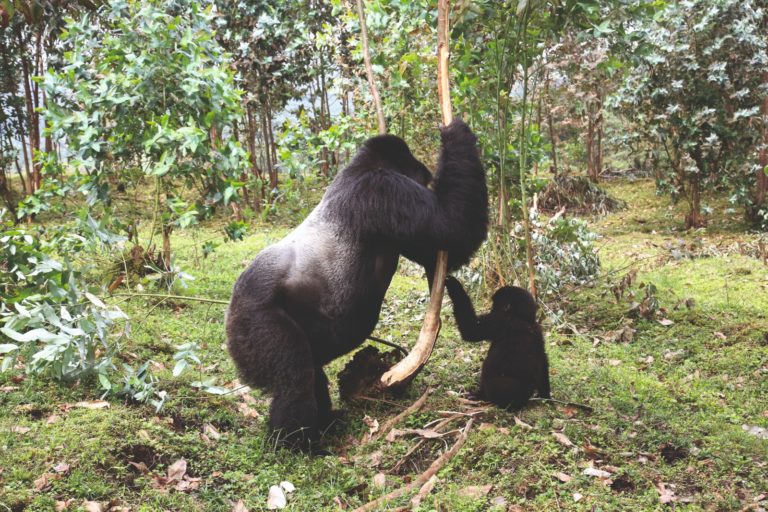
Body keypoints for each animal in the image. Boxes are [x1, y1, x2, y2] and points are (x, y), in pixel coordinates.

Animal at [225, 118, 486, 446]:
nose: (425, 176)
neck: (360, 166)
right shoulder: (383, 188)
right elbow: (455, 227)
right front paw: (456, 135)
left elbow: (444, 249)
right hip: (253, 319)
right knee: (295, 377)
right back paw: (297, 444)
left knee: (311, 370)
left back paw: (325, 424)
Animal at [444, 276, 552, 408]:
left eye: (495, 304)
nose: (491, 309)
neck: (523, 317)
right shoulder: (538, 332)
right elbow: (543, 359)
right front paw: (546, 396)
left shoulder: (499, 320)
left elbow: (471, 330)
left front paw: (454, 285)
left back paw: (481, 396)